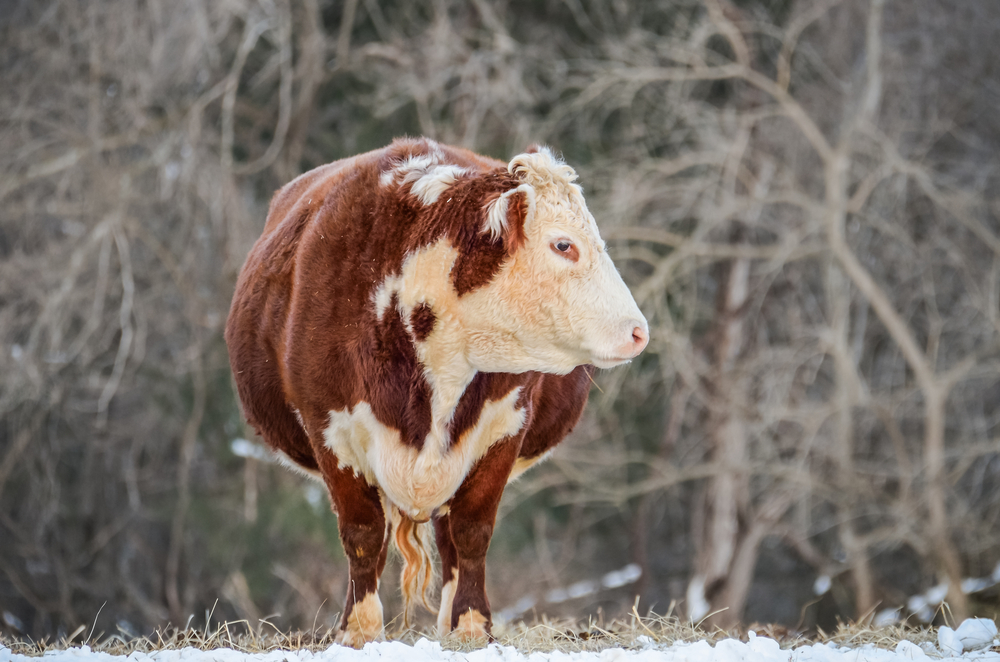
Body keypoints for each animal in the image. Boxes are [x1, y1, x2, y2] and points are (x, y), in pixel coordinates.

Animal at [225, 137, 648, 652]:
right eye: (563, 243)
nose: (638, 331)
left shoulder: (504, 428)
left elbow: (472, 532)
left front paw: (471, 628)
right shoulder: (329, 428)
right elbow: (362, 534)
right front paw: (358, 631)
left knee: (449, 538)